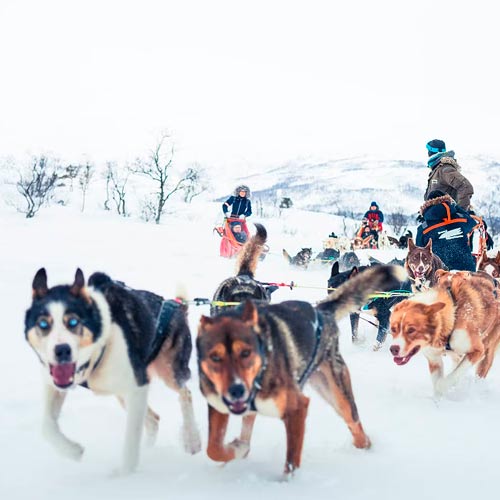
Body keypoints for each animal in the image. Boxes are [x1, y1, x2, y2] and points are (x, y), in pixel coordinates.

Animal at [23, 270, 199, 472]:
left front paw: (125, 472)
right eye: (43, 324)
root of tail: (177, 306)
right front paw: (72, 451)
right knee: (154, 420)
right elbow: (47, 426)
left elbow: (131, 437)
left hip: (168, 371)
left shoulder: (137, 386)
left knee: (185, 394)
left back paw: (192, 439)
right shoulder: (55, 385)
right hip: (123, 394)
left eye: (73, 322)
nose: (61, 350)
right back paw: (149, 450)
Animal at [196, 266, 406, 476]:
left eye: (248, 351)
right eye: (215, 357)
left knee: (353, 420)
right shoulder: (219, 407)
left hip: (334, 390)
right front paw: (236, 450)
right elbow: (214, 448)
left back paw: (364, 446)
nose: (235, 389)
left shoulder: (297, 406)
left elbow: (291, 459)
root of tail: (320, 311)